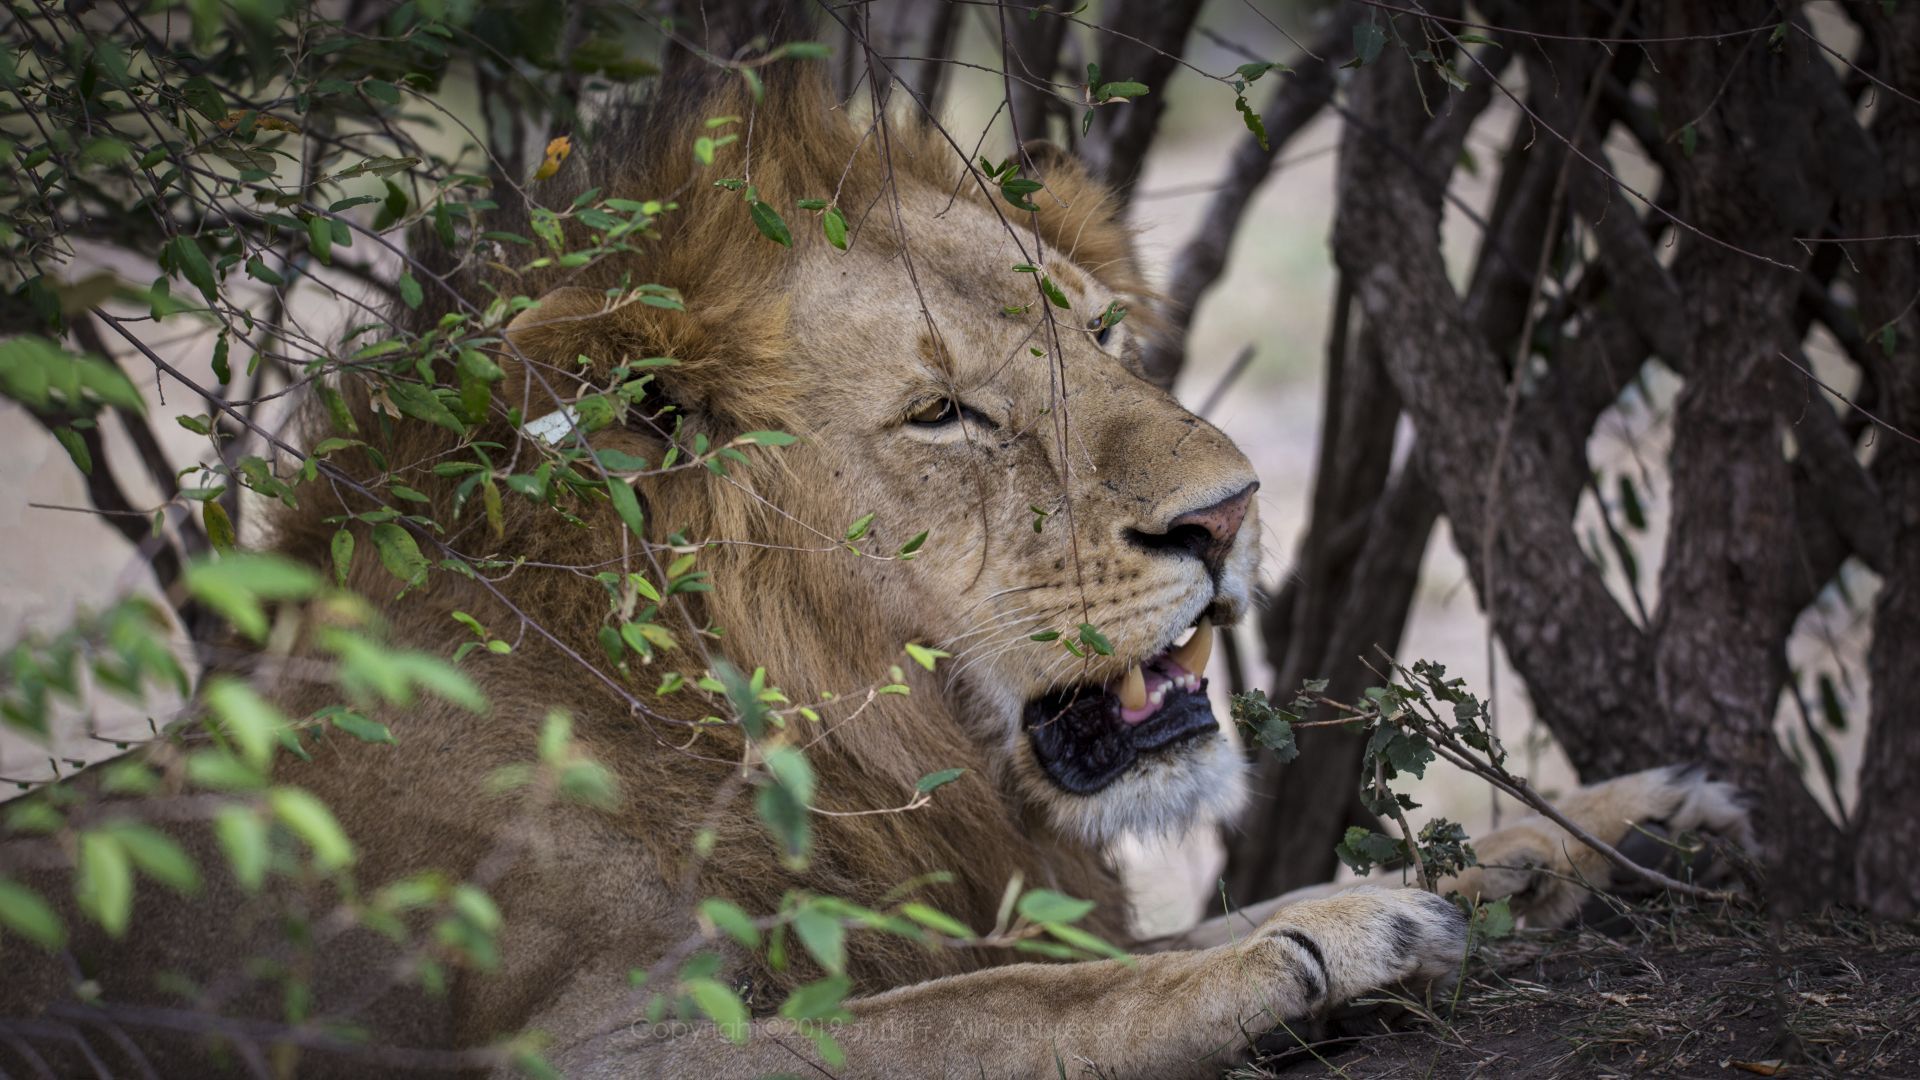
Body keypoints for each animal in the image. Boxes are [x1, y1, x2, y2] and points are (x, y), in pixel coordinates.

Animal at [0, 67, 1758, 1076]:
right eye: (947, 416)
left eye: (1100, 333)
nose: (1235, 513)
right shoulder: (598, 1053)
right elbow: (987, 1008)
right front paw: (1310, 948)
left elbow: (1045, 955)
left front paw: (1591, 830)